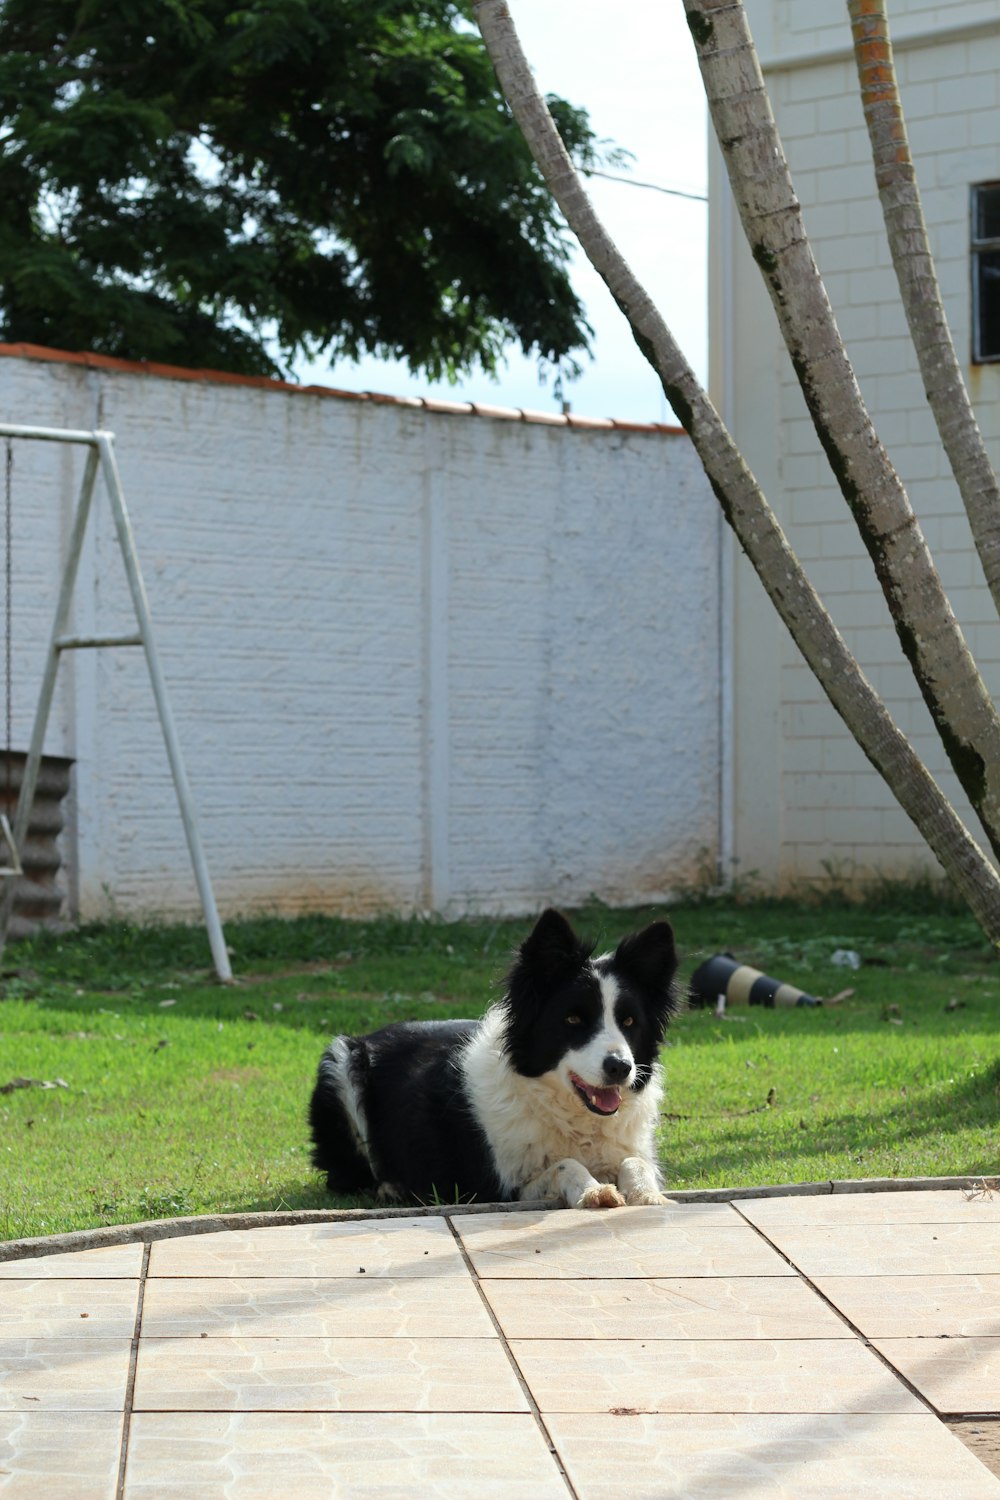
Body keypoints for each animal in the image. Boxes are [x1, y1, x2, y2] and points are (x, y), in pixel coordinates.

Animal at [307, 906, 680, 1212]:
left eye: (628, 1022)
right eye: (573, 1020)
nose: (620, 1068)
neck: (570, 1115)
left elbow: (635, 1163)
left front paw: (649, 1194)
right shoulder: (497, 1187)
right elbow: (565, 1165)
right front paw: (593, 1190)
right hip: (341, 1062)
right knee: (347, 1174)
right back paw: (389, 1187)